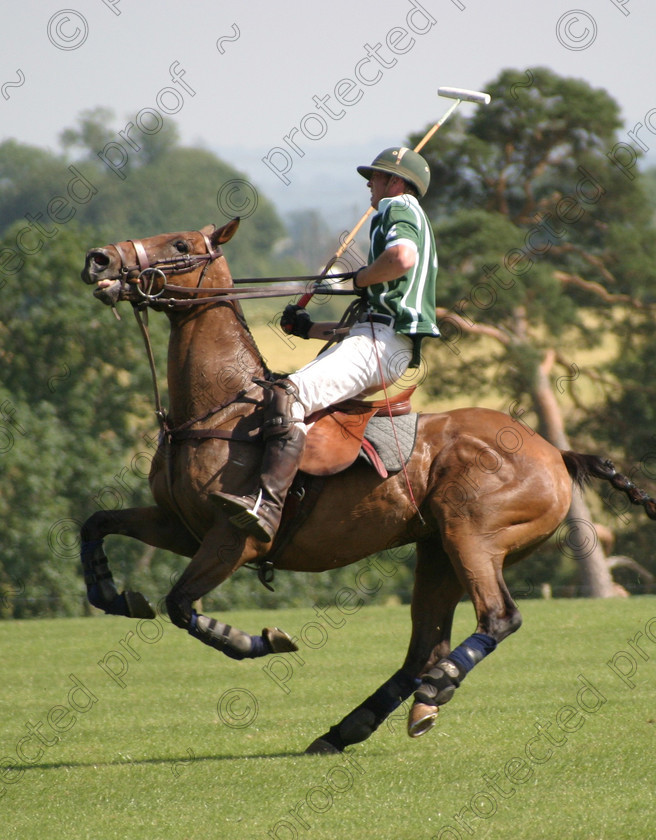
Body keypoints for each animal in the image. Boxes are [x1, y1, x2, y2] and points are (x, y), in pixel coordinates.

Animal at [79, 220, 652, 752]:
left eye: (179, 245)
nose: (99, 258)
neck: (219, 408)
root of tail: (556, 453)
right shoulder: (181, 524)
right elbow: (97, 523)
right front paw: (114, 594)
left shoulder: (234, 537)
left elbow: (180, 604)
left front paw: (263, 640)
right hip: (438, 552)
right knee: (425, 647)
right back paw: (357, 726)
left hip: (474, 535)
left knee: (498, 617)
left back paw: (434, 689)